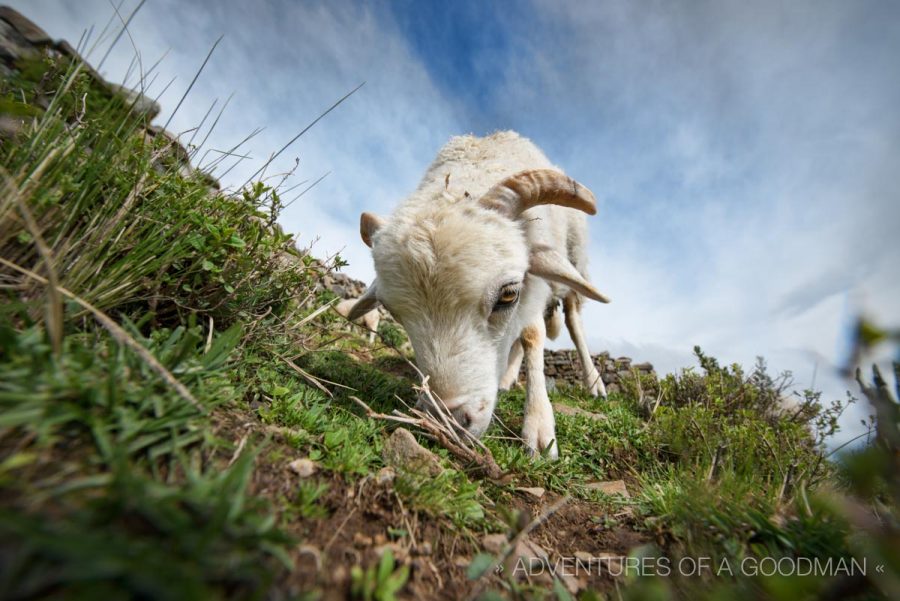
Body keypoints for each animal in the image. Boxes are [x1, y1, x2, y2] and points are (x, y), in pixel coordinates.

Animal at [348, 131, 608, 458]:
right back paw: (508, 379)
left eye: (508, 295)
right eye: (393, 312)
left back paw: (594, 383)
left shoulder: (533, 283)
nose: (451, 422)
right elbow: (526, 335)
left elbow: (533, 335)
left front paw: (539, 427)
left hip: (574, 254)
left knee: (573, 319)